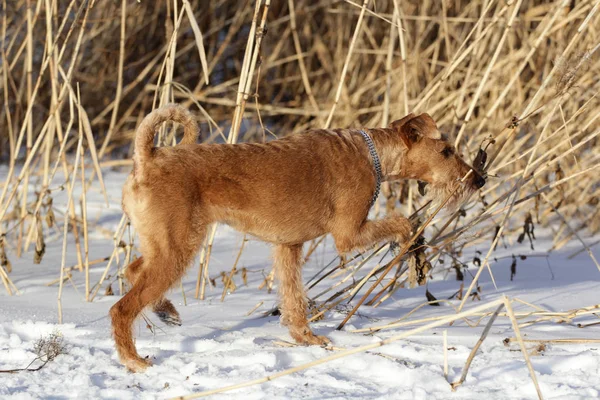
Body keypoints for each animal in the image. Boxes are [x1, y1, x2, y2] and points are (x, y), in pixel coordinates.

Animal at [110, 104, 486, 372]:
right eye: (447, 151)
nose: (478, 179)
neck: (372, 155)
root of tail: (147, 157)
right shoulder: (349, 234)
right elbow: (403, 223)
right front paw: (415, 254)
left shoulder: (288, 246)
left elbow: (294, 300)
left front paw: (307, 339)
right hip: (178, 246)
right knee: (122, 307)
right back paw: (135, 360)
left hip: (164, 243)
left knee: (132, 271)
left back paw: (166, 312)